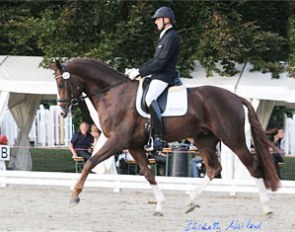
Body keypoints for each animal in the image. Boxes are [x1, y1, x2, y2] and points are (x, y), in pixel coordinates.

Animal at [51, 57, 280, 216]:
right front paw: (160, 206)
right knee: (214, 168)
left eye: (61, 84)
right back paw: (190, 203)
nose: (61, 112)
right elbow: (148, 173)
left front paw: (74, 196)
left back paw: (267, 208)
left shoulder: (118, 141)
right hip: (204, 139)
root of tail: (235, 97)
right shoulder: (133, 145)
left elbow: (90, 162)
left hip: (233, 139)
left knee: (253, 167)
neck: (113, 94)